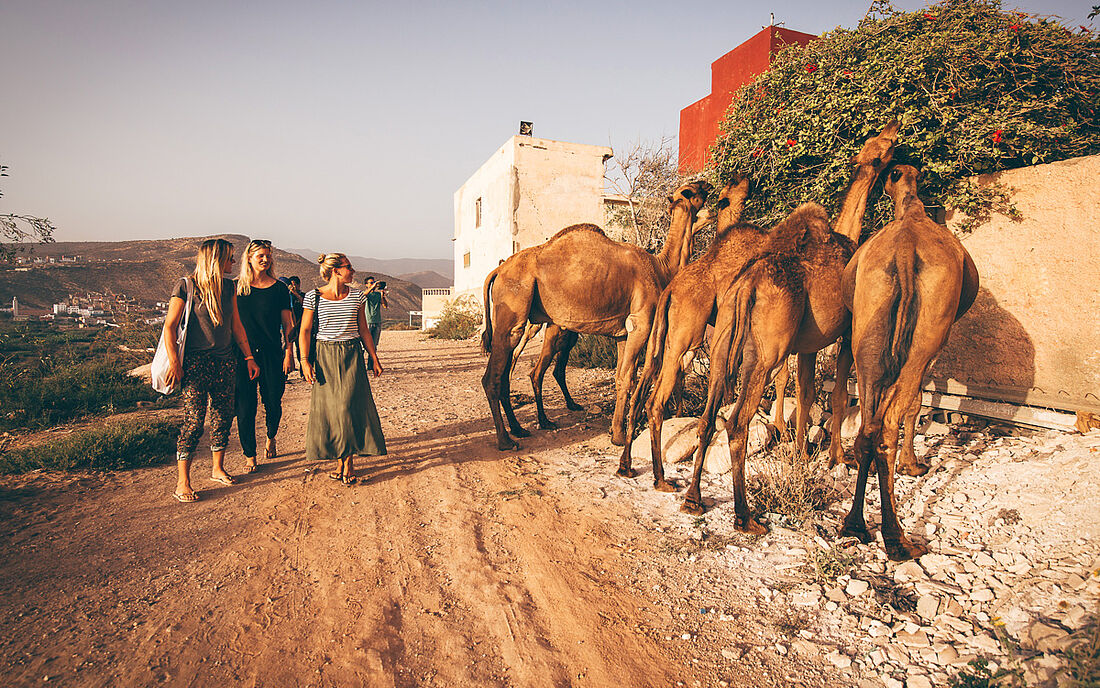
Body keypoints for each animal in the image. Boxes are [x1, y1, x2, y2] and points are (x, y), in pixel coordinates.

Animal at [481, 181, 712, 451]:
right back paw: (506, 440)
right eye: (690, 191)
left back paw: (521, 428)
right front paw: (620, 436)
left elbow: (621, 376)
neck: (662, 268)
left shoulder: (624, 332)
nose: (707, 185)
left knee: (507, 371)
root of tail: (498, 269)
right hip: (514, 307)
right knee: (494, 375)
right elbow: (628, 377)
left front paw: (615, 430)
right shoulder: (641, 323)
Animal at [616, 122, 897, 488]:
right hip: (688, 338)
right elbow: (814, 389)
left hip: (666, 338)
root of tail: (671, 291)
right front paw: (821, 451)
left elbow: (797, 387)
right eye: (881, 149)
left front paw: (793, 443)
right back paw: (663, 476)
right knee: (658, 397)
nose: (895, 130)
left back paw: (630, 465)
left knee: (643, 390)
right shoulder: (836, 333)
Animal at [840, 164, 981, 561]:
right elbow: (916, 403)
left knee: (868, 427)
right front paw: (913, 464)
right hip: (927, 333)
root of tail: (904, 251)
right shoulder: (937, 342)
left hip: (868, 325)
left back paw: (855, 524)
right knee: (887, 422)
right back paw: (898, 539)